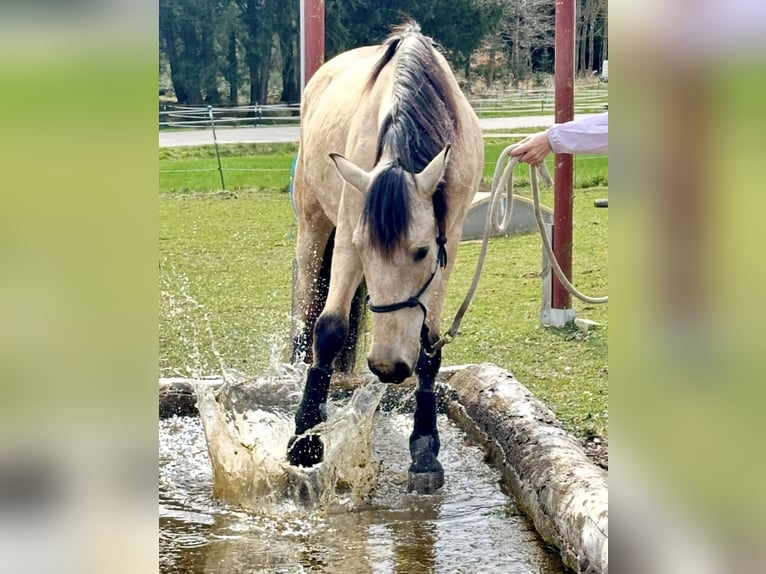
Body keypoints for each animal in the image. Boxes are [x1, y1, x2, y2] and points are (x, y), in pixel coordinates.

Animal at [287, 22, 484, 493]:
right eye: (363, 248)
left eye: (423, 250)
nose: (387, 367)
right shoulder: (346, 236)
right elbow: (329, 330)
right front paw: (305, 442)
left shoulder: (450, 238)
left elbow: (429, 344)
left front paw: (425, 449)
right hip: (313, 227)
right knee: (304, 315)